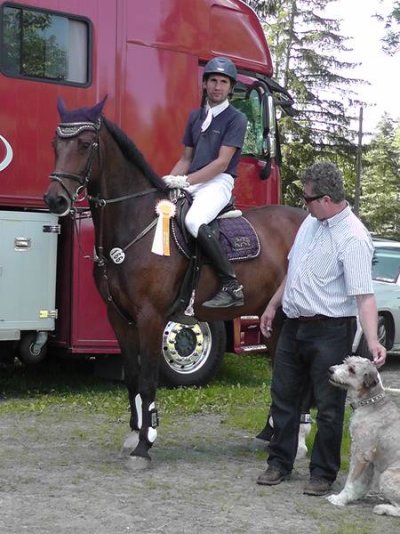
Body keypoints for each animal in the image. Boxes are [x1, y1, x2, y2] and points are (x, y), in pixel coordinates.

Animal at [43, 97, 306, 468]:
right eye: (56, 144)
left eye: (84, 144)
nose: (56, 199)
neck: (136, 223)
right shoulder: (119, 318)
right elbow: (133, 379)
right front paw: (133, 435)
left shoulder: (152, 317)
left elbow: (149, 379)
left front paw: (144, 444)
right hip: (271, 319)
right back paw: (269, 435)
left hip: (290, 316)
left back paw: (298, 442)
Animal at [326, 358, 400, 516]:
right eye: (345, 361)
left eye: (352, 370)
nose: (330, 370)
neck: (371, 403)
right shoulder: (368, 459)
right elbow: (361, 482)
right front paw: (353, 496)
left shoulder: (360, 453)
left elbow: (351, 481)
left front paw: (340, 499)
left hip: (387, 476)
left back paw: (382, 508)